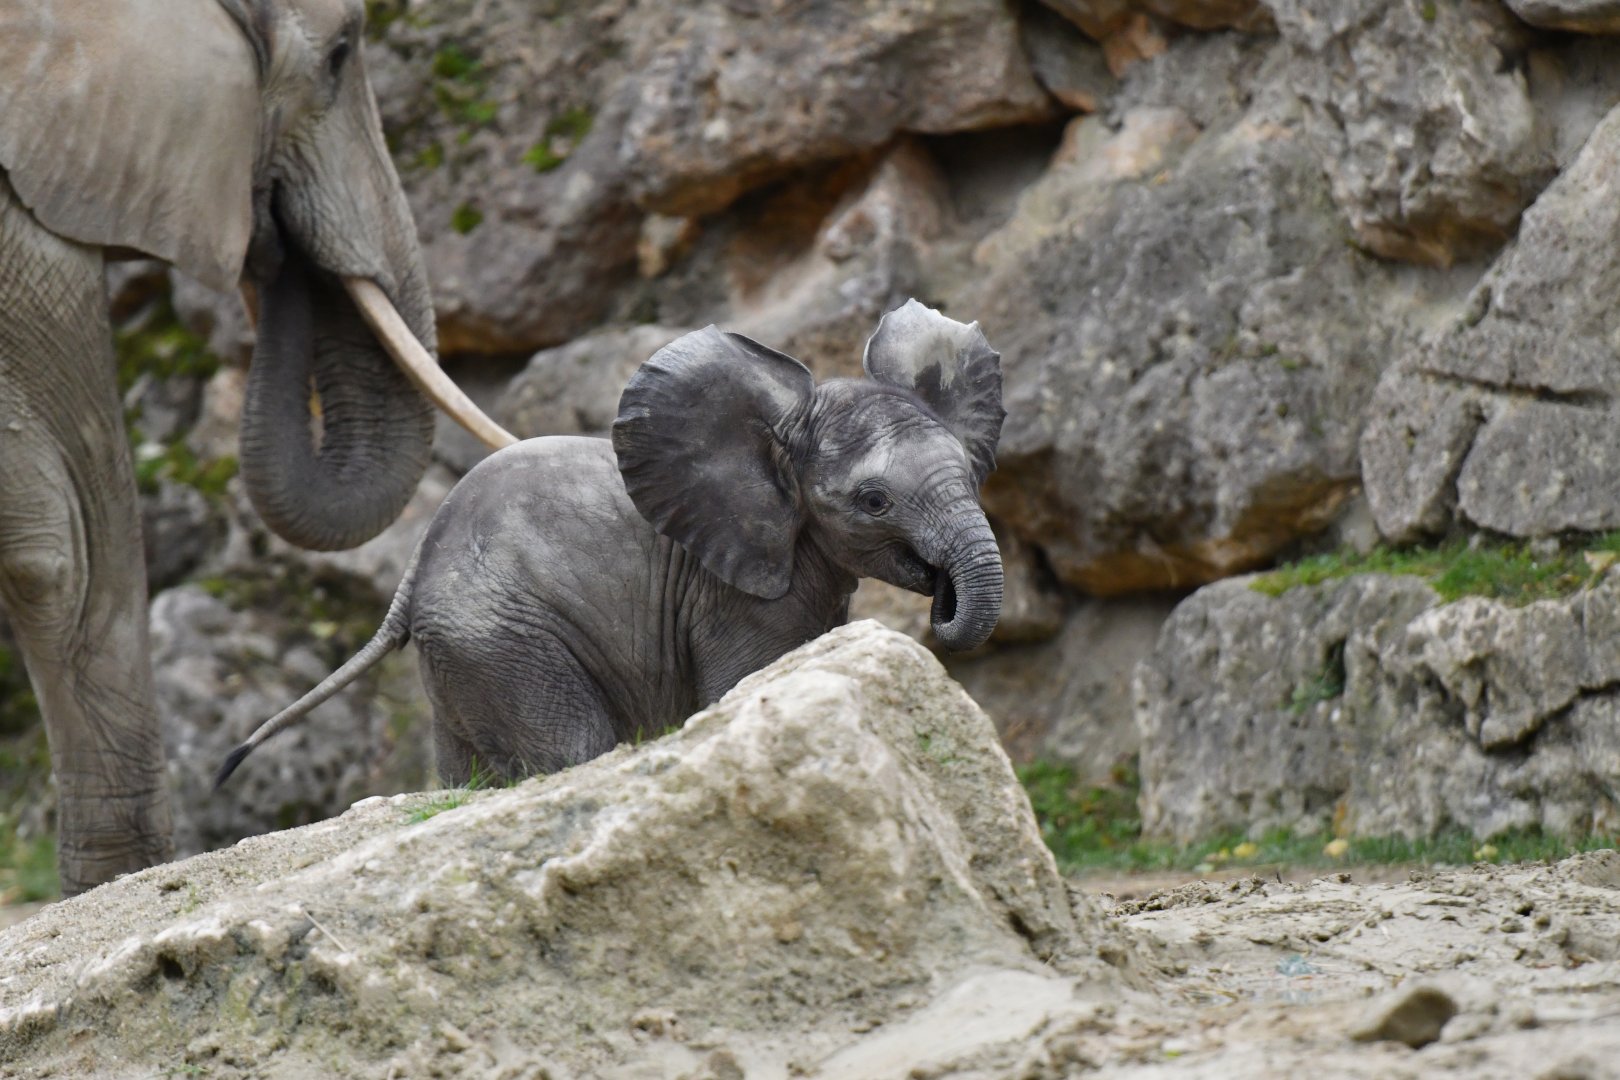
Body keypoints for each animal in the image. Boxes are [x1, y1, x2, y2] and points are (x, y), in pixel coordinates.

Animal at [219, 300, 1005, 786]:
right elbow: (745, 679)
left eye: (972, 472)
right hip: (503, 637)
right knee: (572, 747)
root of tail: (410, 580)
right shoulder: (733, 595)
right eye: (874, 501)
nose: (943, 595)